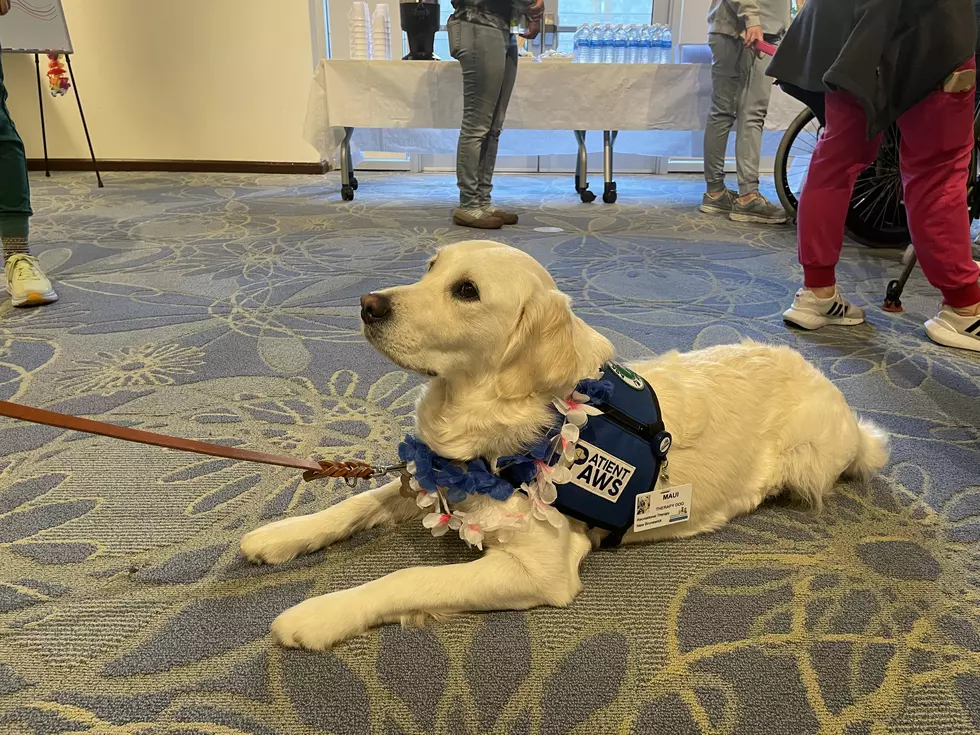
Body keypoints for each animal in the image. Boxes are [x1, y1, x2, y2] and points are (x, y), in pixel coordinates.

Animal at [239, 240, 888, 648]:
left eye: (466, 290)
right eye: (429, 266)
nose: (368, 304)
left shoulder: (541, 567)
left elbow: (406, 580)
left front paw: (319, 614)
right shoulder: (435, 469)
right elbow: (355, 501)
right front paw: (281, 534)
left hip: (812, 455)